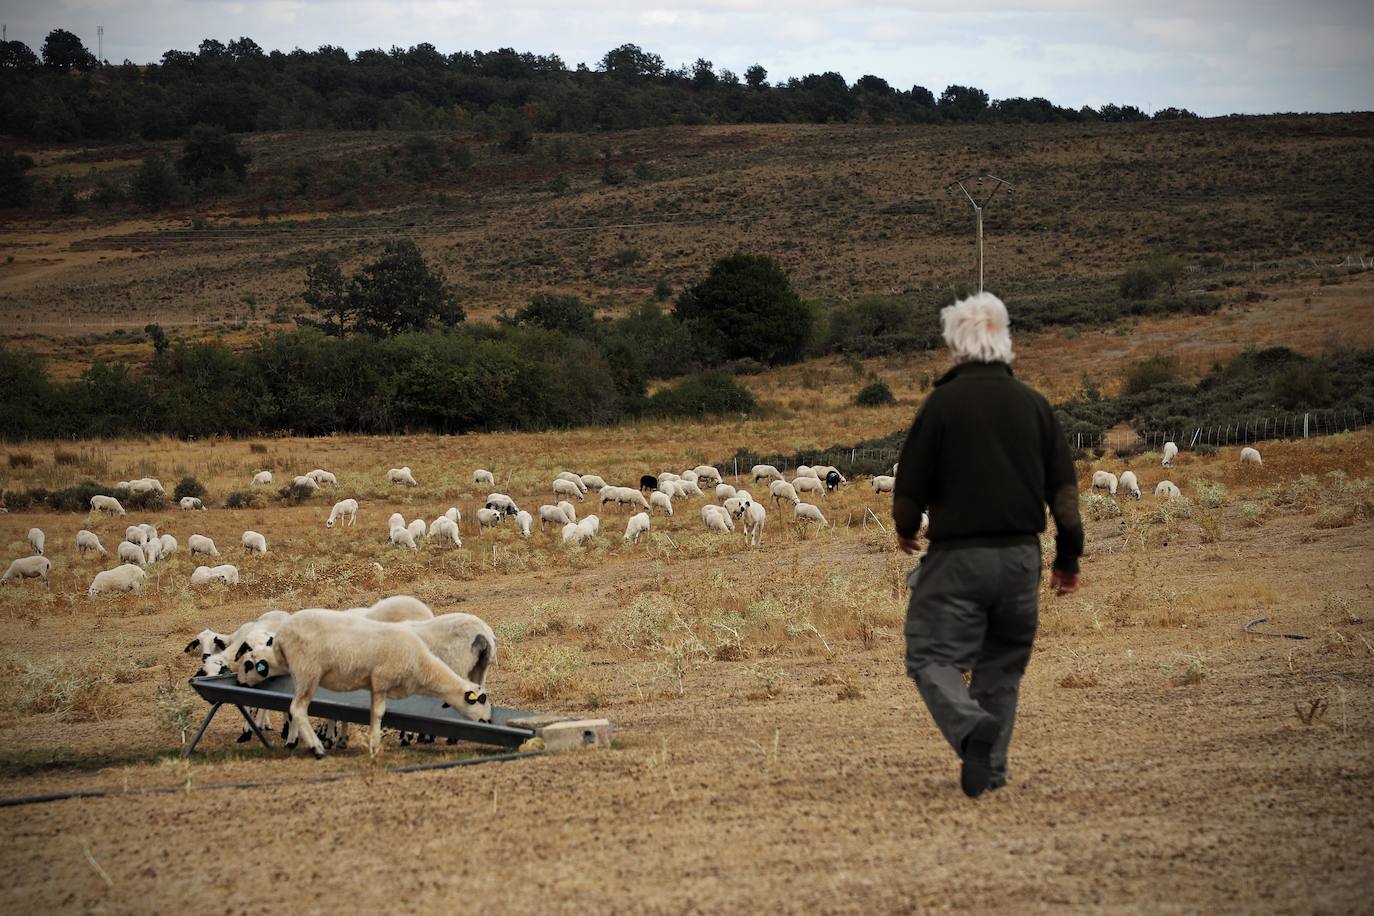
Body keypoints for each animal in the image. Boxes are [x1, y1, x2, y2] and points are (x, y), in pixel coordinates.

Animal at [239, 609, 491, 758]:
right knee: (297, 709)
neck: (421, 665)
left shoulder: (374, 684)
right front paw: (375, 744)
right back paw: (316, 747)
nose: (488, 721)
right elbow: (378, 713)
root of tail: (282, 634)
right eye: (481, 701)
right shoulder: (380, 680)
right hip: (307, 671)